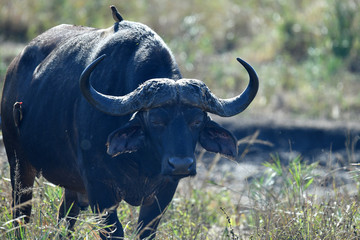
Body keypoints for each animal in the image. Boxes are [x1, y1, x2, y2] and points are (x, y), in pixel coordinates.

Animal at [0, 6, 258, 240]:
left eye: (197, 121)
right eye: (155, 120)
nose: (181, 165)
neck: (143, 161)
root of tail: (14, 67)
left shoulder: (164, 191)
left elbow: (145, 232)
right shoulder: (100, 189)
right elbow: (115, 232)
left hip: (70, 185)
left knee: (66, 218)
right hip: (19, 164)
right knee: (21, 214)